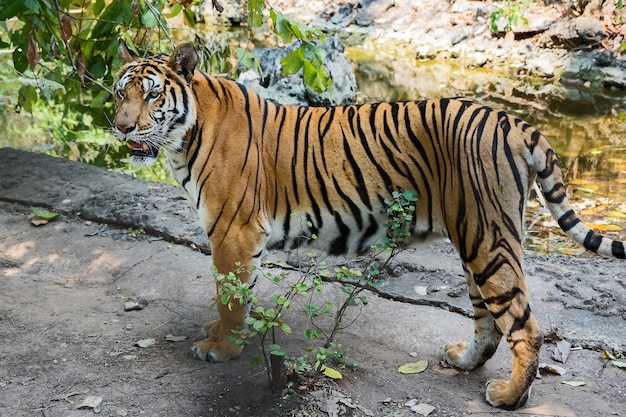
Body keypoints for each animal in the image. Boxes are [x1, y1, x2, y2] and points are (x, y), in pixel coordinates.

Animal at [112, 40, 624, 408]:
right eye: (121, 92)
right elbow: (233, 296)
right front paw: (220, 335)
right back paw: (462, 361)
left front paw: (221, 348)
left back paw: (508, 397)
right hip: (476, 238)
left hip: (488, 238)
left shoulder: (232, 232)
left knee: (523, 325)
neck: (184, 137)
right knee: (488, 319)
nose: (121, 127)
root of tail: (514, 121)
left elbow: (230, 297)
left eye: (153, 94)